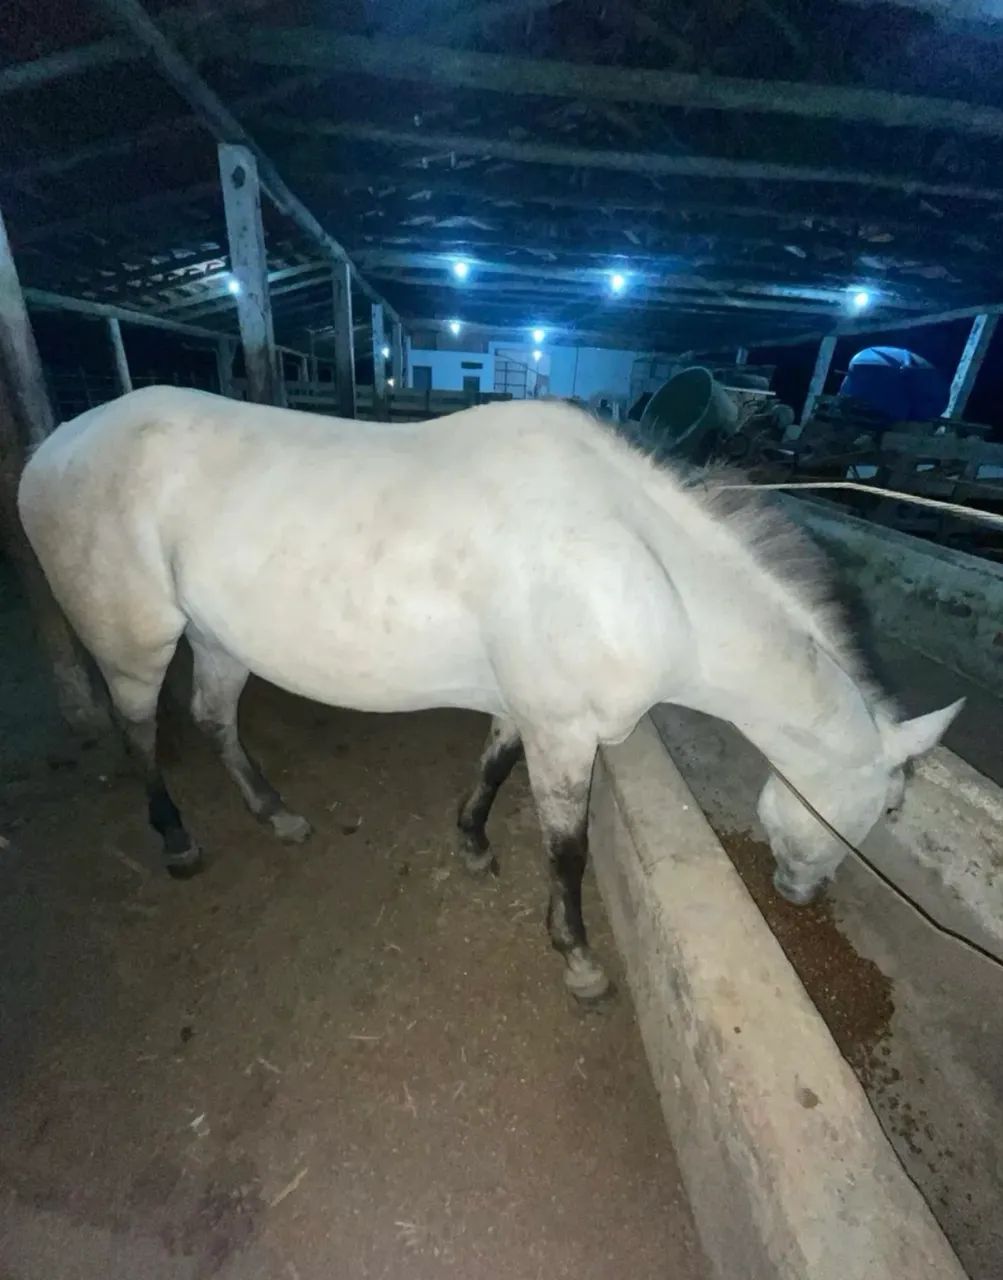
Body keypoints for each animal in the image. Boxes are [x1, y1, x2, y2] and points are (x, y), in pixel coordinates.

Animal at [18, 386, 961, 1002]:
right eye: (878, 812)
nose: (801, 896)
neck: (646, 572)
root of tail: (51, 446)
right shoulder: (566, 733)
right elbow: (566, 849)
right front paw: (577, 959)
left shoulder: (529, 711)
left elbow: (491, 766)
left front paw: (470, 843)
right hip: (138, 640)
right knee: (140, 731)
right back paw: (176, 838)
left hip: (220, 639)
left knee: (216, 719)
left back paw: (275, 814)